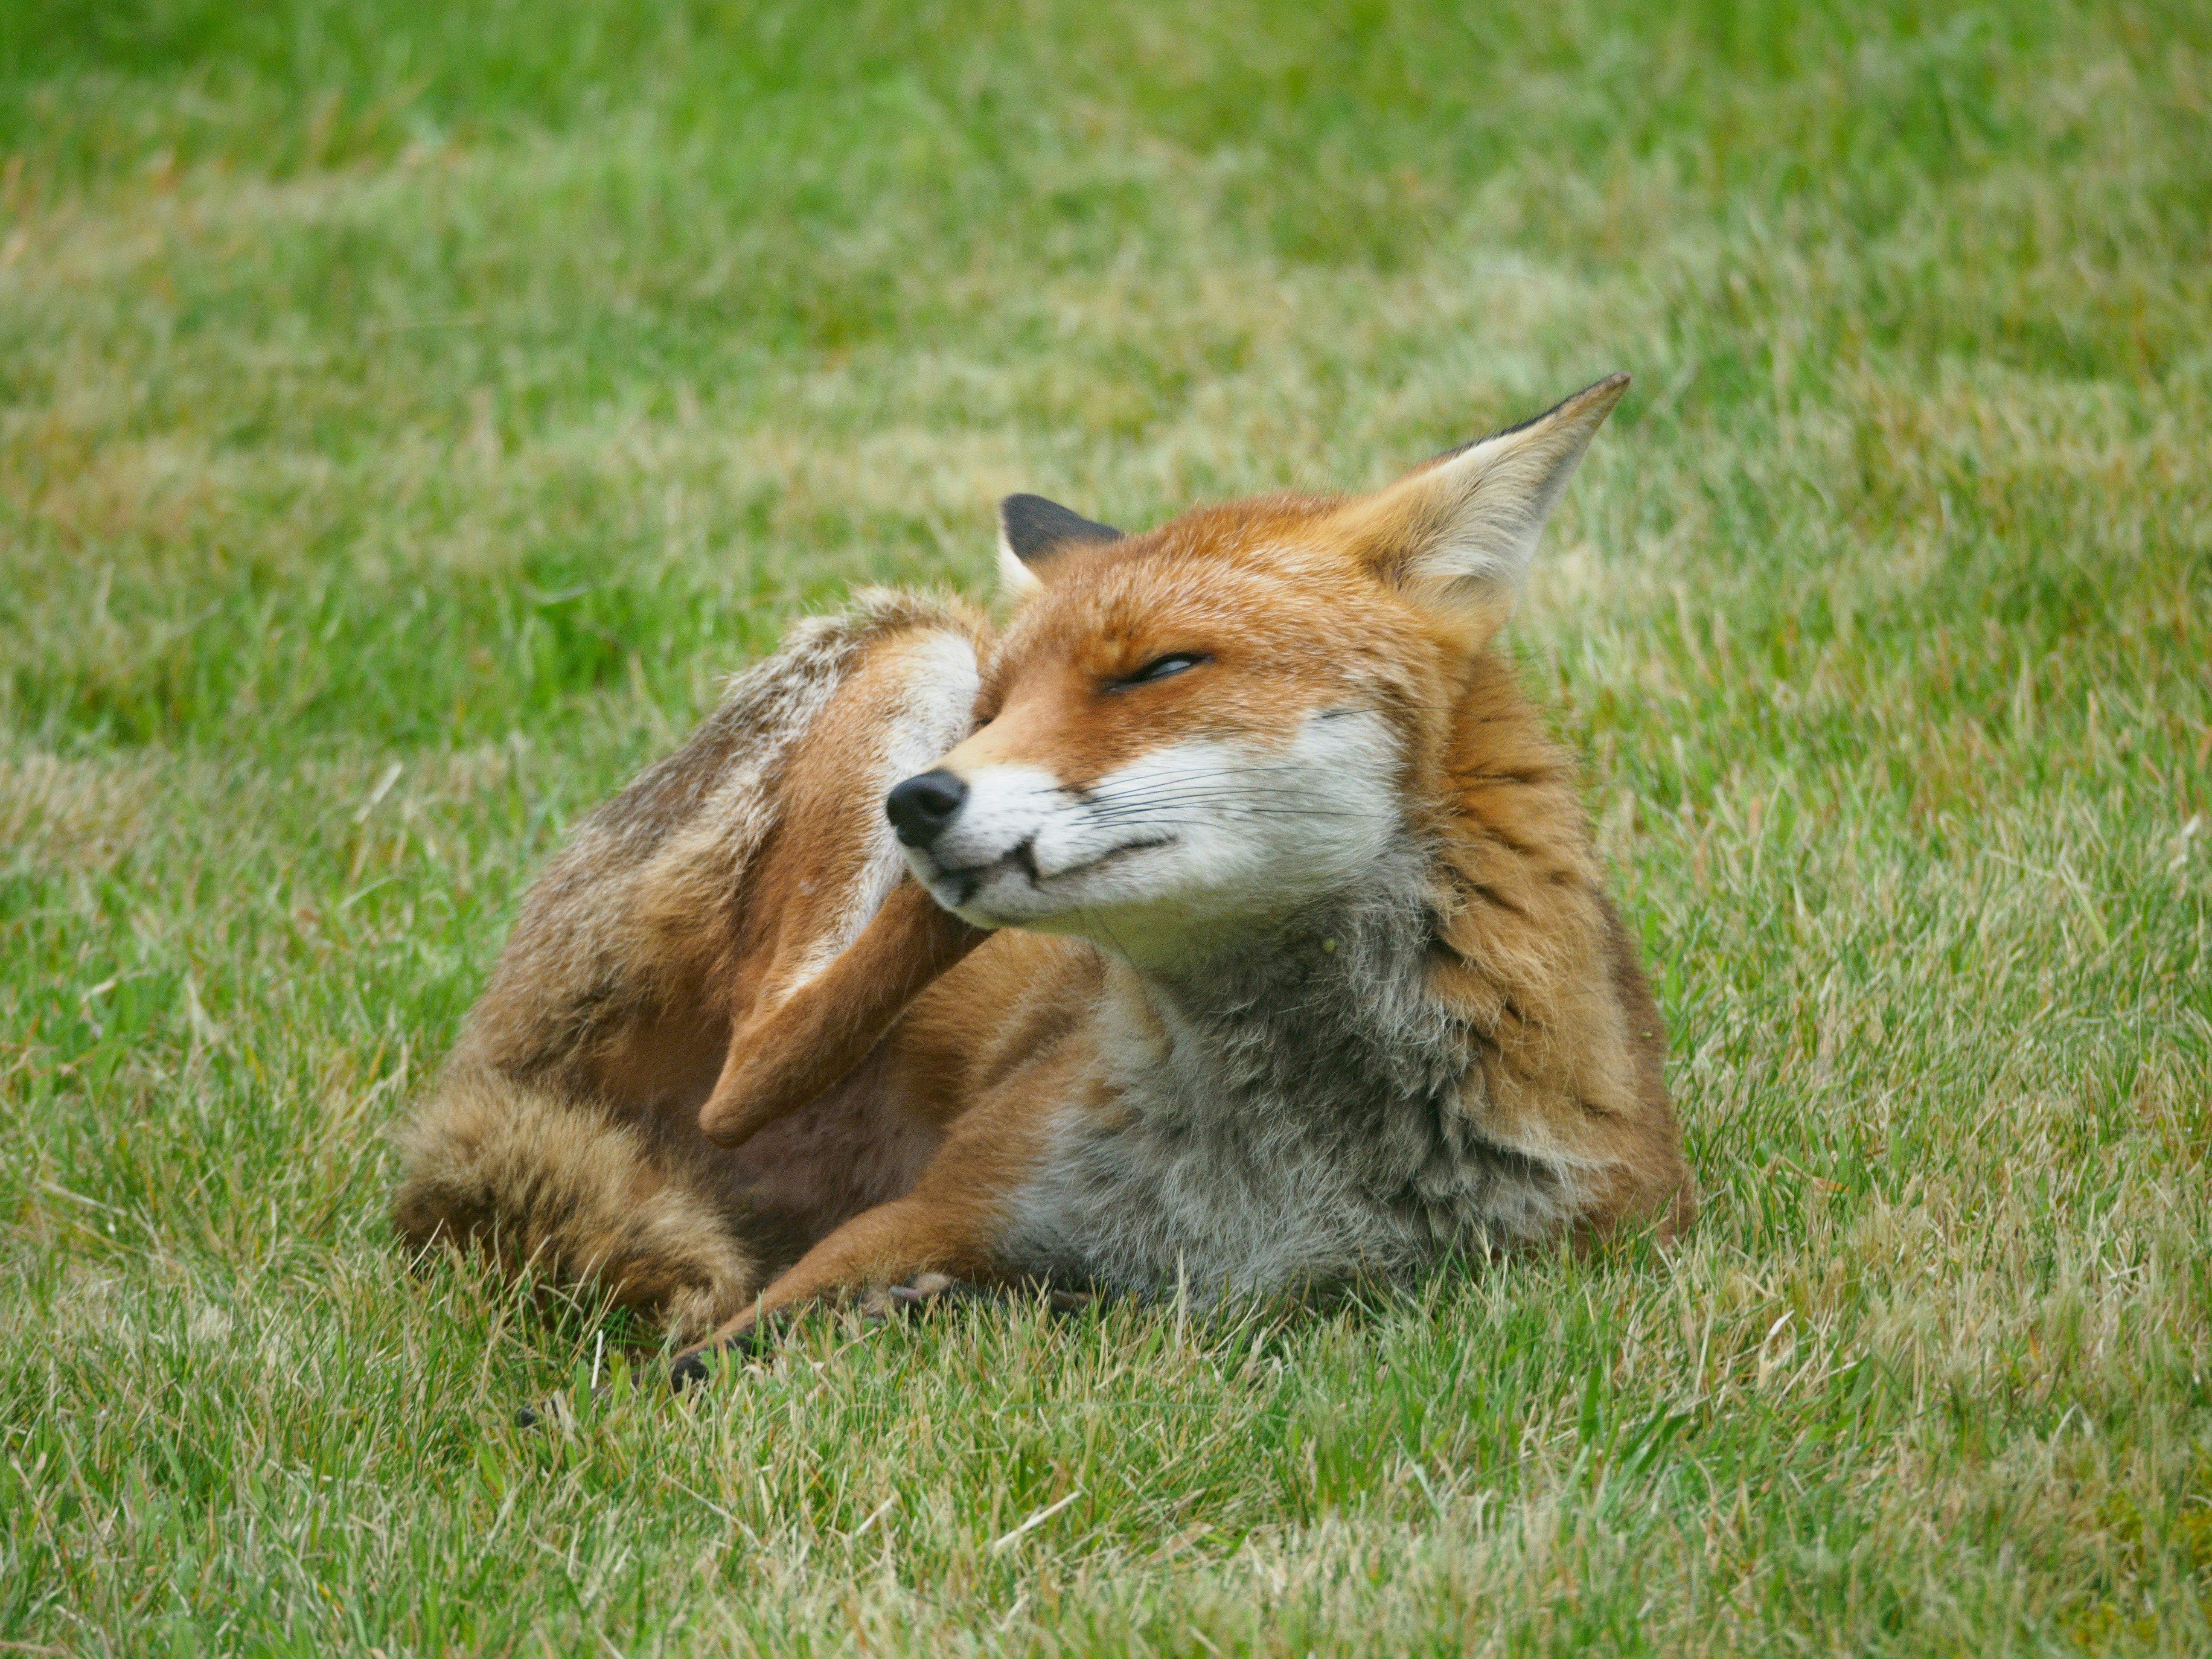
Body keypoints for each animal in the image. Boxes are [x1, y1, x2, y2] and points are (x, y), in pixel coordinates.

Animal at [391, 371, 1693, 1384]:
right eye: (1000, 709)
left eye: (1160, 668)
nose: (917, 801)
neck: (1286, 1176)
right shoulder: (937, 1208)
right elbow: (698, 1364)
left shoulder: (1590, 1251)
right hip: (920, 644)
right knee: (759, 1056)